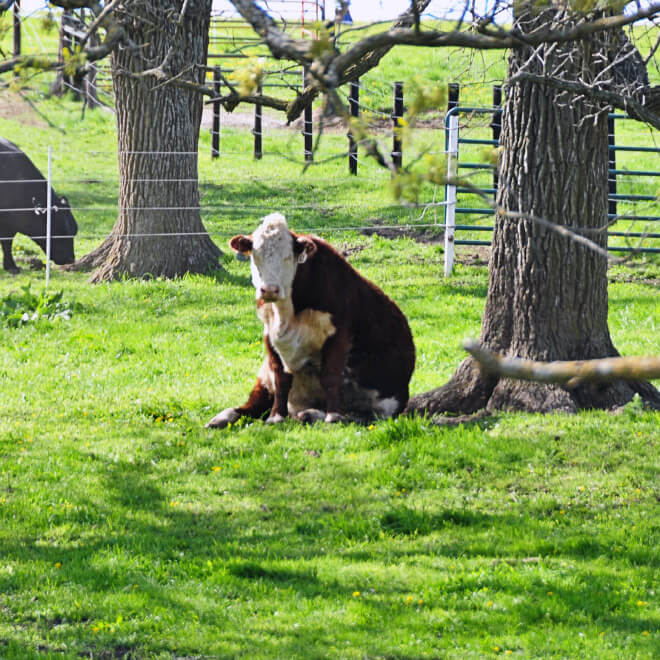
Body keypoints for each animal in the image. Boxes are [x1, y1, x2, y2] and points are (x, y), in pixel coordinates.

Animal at [206, 211, 416, 428]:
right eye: (256, 257)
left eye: (288, 257)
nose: (269, 290)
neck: (287, 315)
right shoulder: (269, 335)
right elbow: (280, 378)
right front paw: (275, 417)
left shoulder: (338, 332)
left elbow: (330, 375)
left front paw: (334, 416)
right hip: (264, 378)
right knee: (253, 404)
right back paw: (224, 417)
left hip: (387, 402)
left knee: (363, 415)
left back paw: (314, 414)